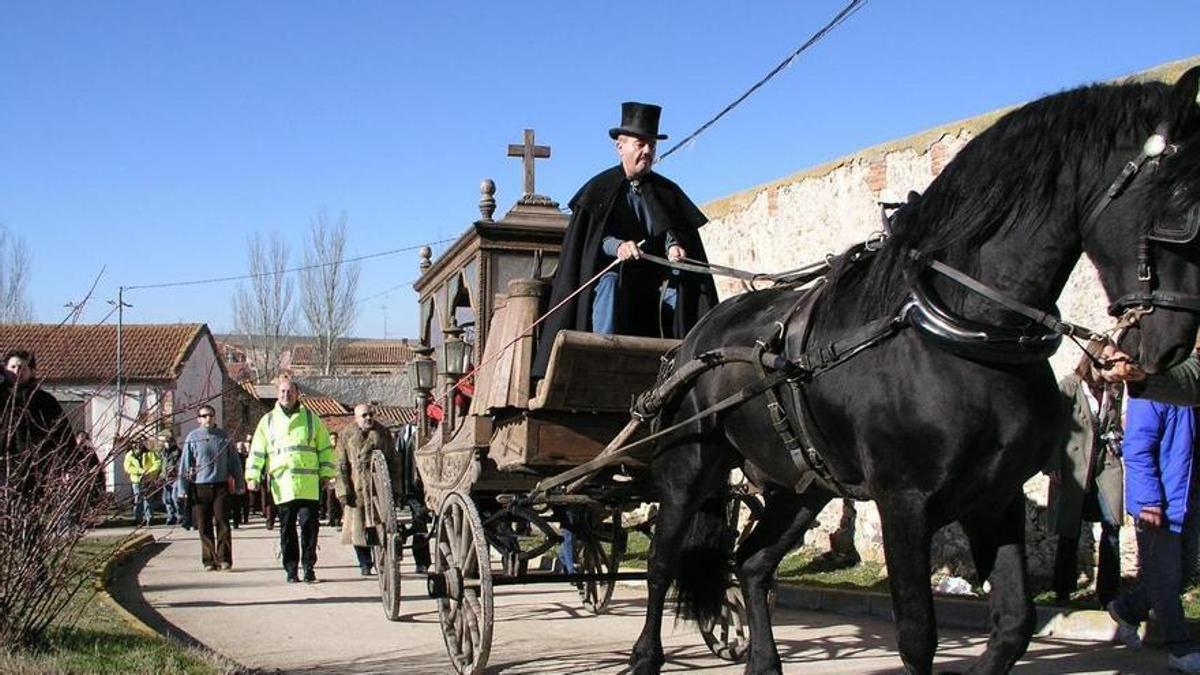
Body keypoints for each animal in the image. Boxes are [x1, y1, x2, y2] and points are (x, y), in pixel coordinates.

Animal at [628, 65, 1200, 667]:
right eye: (1178, 211)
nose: (1170, 345)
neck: (964, 330)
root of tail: (695, 340)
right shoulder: (904, 503)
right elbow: (918, 635)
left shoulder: (996, 498)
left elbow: (1014, 623)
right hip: (689, 465)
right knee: (662, 563)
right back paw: (646, 654)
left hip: (804, 486)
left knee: (754, 563)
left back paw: (763, 659)